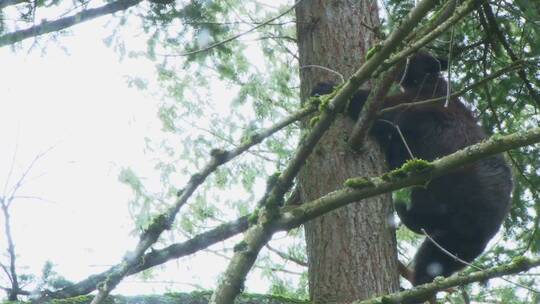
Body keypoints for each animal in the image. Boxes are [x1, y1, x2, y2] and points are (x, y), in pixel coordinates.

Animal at [310, 51, 512, 286]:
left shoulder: (421, 102)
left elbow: (378, 108)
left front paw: (326, 90)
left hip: (455, 183)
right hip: (457, 240)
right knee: (435, 257)